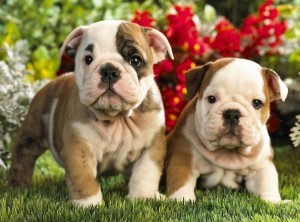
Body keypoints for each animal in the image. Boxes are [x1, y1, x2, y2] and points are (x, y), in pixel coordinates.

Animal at [8, 20, 173, 206]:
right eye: (88, 59)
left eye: (135, 60)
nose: (109, 70)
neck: (117, 117)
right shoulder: (78, 149)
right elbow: (83, 178)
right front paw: (89, 204)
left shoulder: (151, 147)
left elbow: (145, 173)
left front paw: (144, 196)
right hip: (32, 133)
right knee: (23, 157)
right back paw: (18, 185)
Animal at [166, 57, 288, 203]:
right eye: (211, 98)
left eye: (257, 103)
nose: (232, 113)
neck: (227, 152)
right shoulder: (183, 160)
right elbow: (181, 181)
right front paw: (181, 200)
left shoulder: (262, 166)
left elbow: (267, 183)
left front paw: (273, 202)